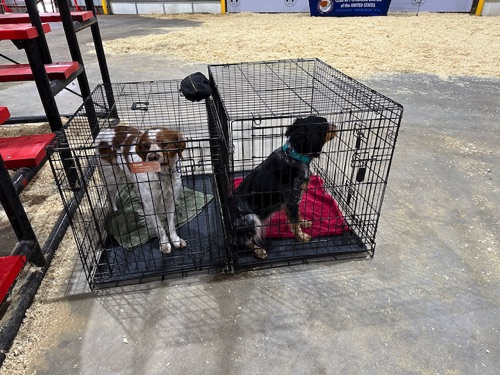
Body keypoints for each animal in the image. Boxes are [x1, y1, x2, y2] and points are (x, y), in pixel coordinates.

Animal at [94, 127, 188, 256]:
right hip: (112, 178)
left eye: (164, 144)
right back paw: (115, 210)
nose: (152, 157)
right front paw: (164, 244)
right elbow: (159, 227)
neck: (161, 175)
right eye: (145, 146)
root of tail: (104, 130)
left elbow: (171, 224)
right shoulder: (150, 205)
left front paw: (175, 240)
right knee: (110, 196)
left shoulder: (170, 199)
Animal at [229, 116, 338, 260]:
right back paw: (259, 250)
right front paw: (302, 237)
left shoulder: (293, 200)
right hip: (251, 218)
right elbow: (294, 222)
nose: (336, 125)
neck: (294, 156)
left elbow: (297, 216)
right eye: (325, 126)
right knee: (243, 241)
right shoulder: (292, 198)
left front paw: (304, 223)